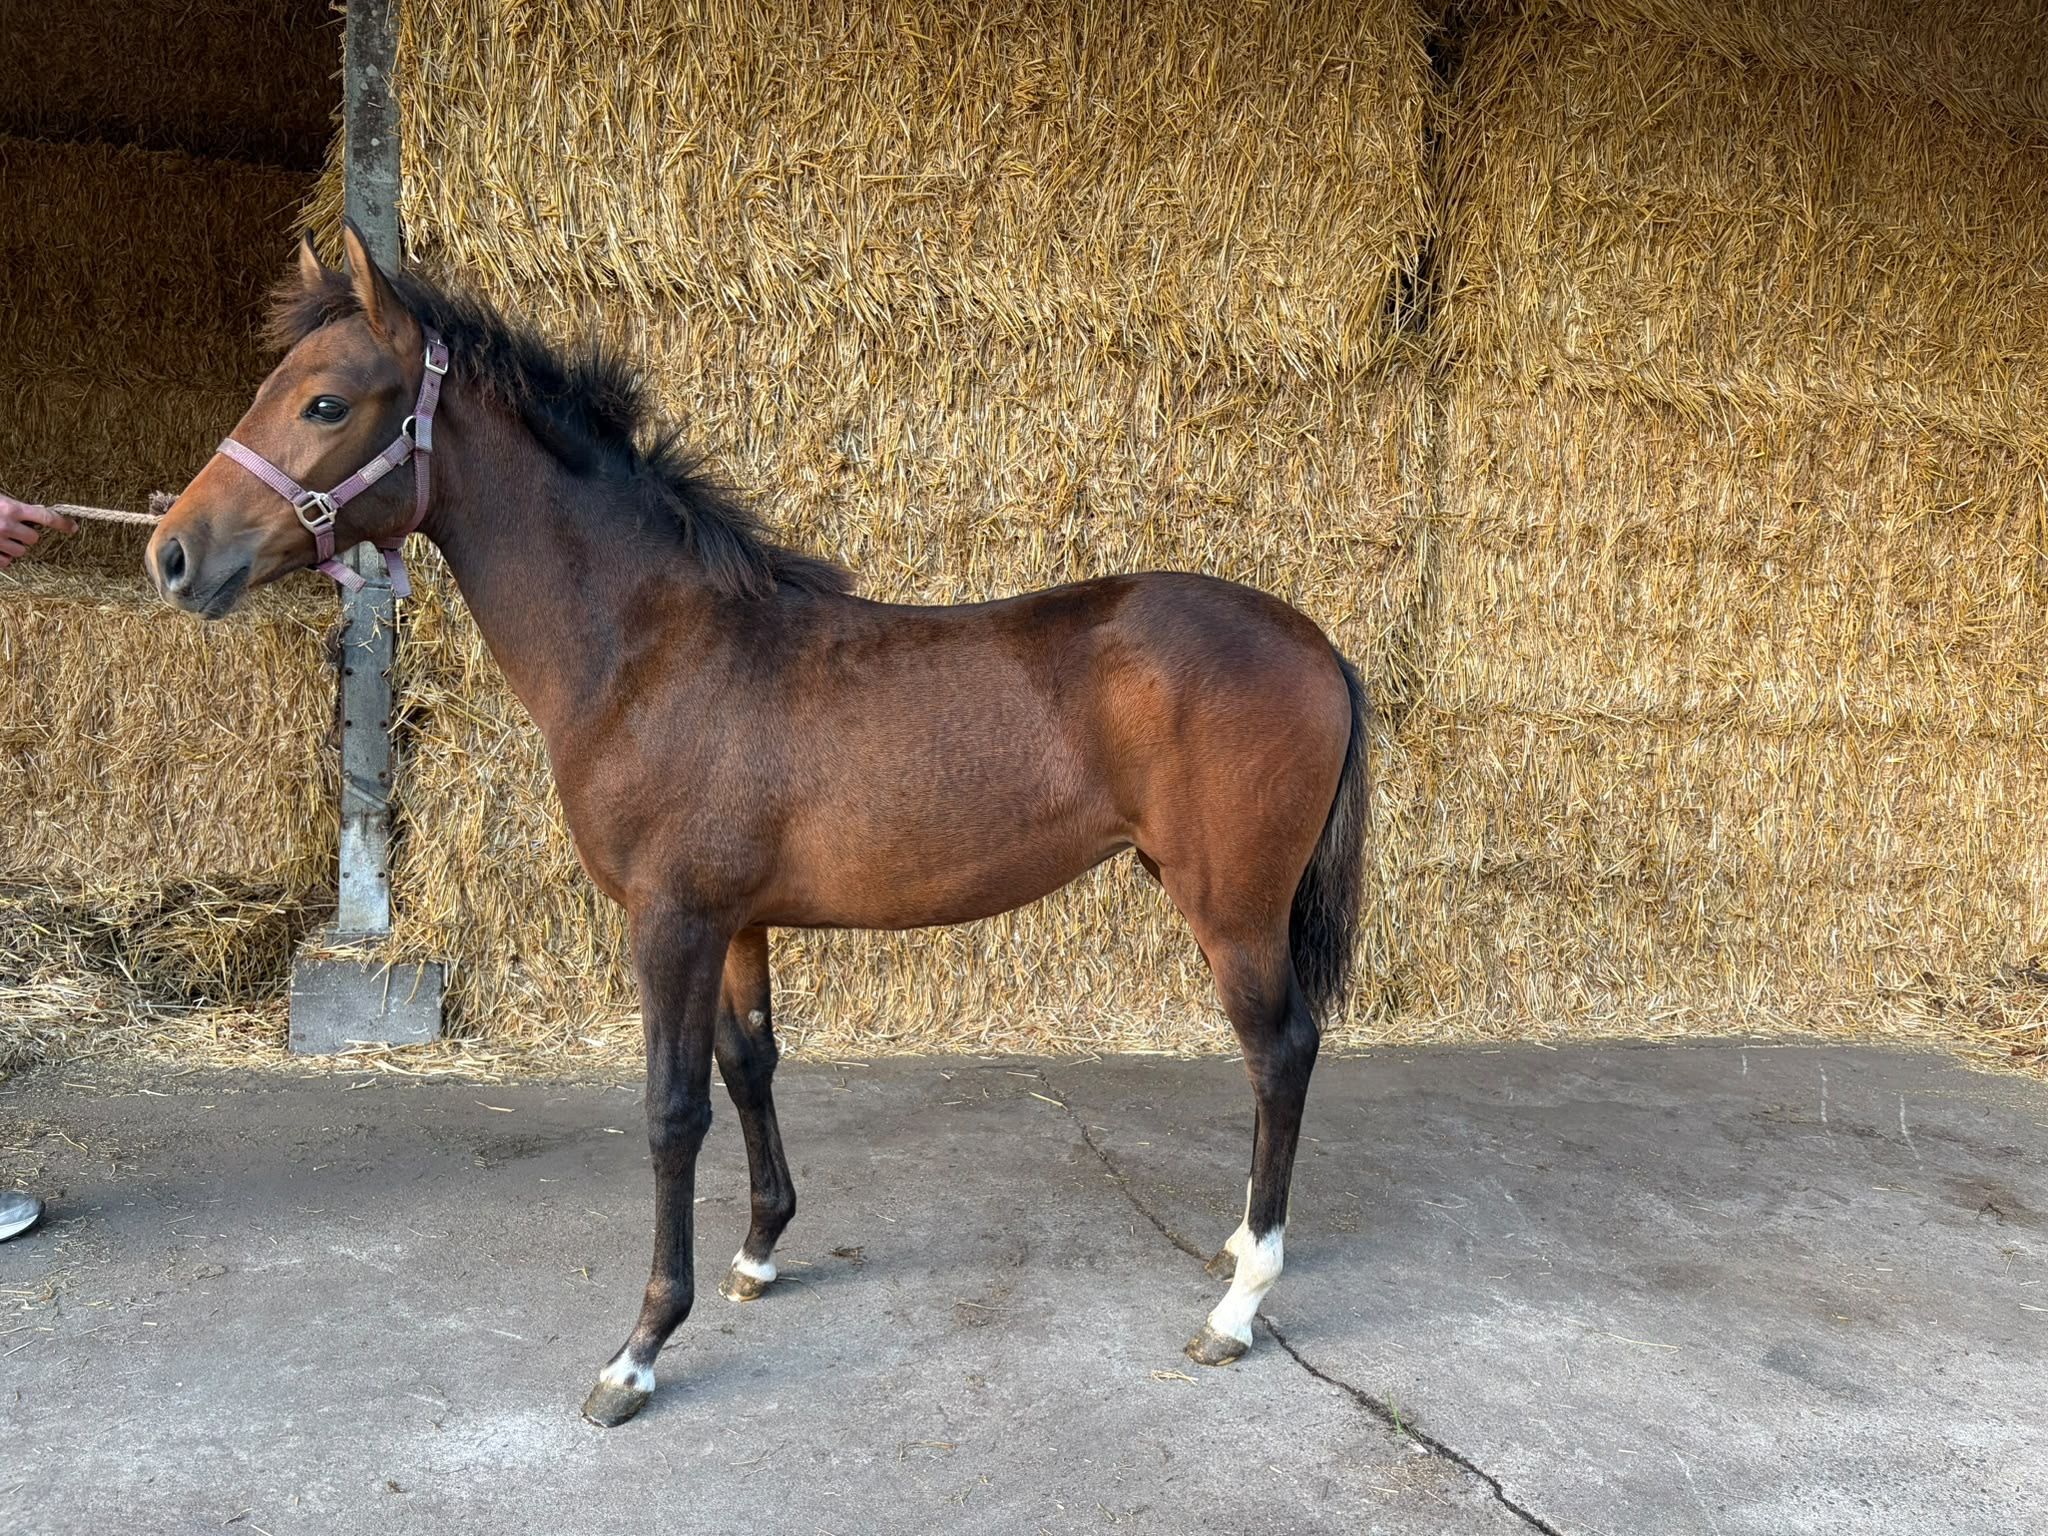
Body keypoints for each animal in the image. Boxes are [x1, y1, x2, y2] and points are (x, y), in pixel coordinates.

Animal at [146, 222, 1371, 1428]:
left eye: (325, 403)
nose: (172, 554)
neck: (651, 651)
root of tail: (1314, 643)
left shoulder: (670, 921)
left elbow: (670, 1111)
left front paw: (639, 1351)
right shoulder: (734, 923)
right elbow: (750, 1067)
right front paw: (760, 1250)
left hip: (1231, 906)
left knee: (1280, 1051)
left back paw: (1239, 1304)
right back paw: (1232, 1251)